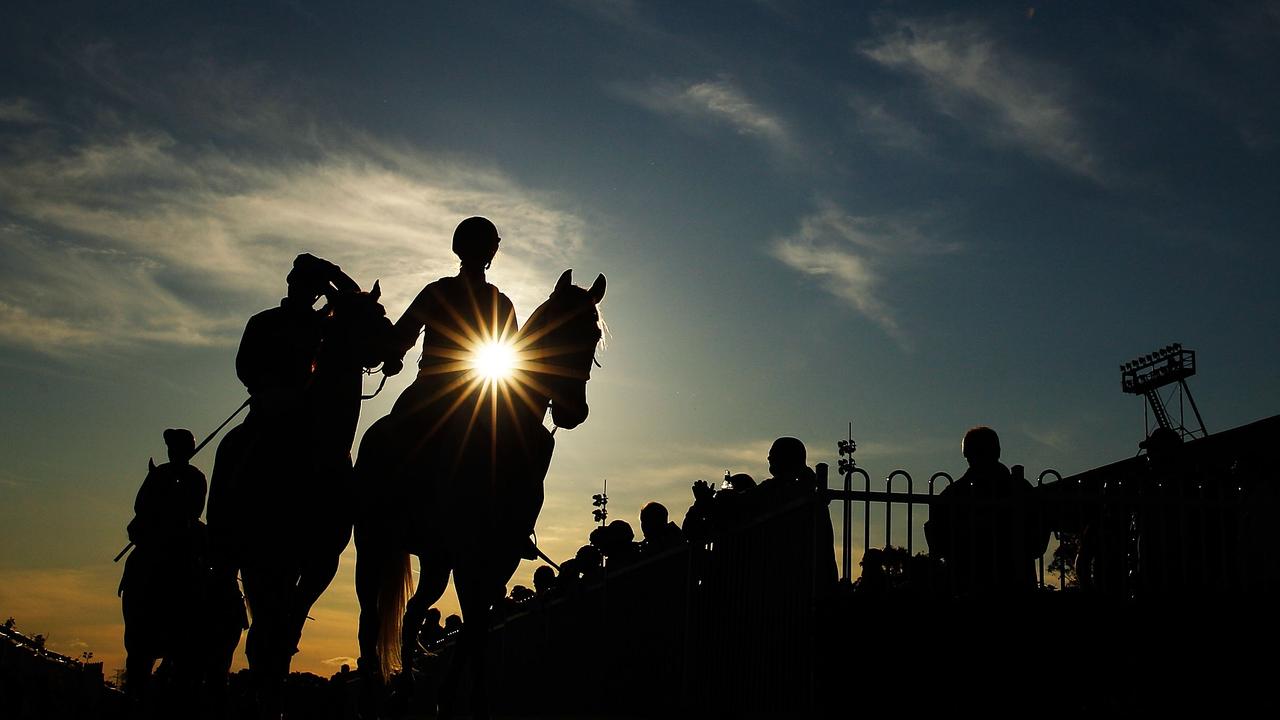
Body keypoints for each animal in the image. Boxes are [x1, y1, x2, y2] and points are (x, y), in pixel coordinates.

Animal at [208, 281, 394, 696]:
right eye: (358, 316)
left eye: (381, 312)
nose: (396, 350)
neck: (315, 453)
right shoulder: (266, 557)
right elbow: (267, 637)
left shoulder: (320, 562)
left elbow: (287, 633)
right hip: (237, 556)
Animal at [353, 267, 606, 712]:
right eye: (558, 329)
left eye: (592, 334)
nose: (573, 412)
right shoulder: (469, 555)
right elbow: (471, 624)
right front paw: (453, 699)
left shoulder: (498, 557)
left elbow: (477, 628)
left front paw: (469, 699)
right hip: (373, 543)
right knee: (370, 619)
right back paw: (372, 694)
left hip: (435, 560)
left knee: (412, 614)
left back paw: (406, 691)